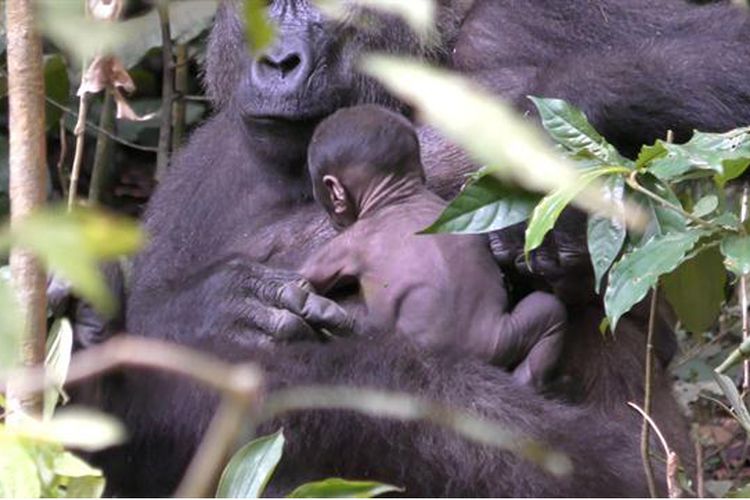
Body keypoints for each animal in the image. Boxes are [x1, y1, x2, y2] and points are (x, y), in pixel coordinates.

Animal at [300, 105, 564, 390]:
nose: (331, 217)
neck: (398, 196)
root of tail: (467, 352)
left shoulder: (349, 241)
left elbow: (310, 275)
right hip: (505, 335)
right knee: (550, 310)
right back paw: (528, 379)